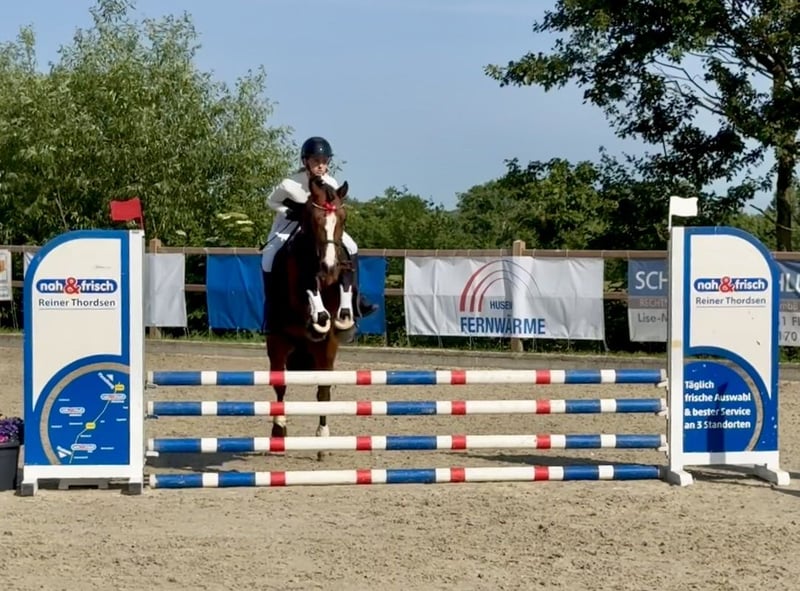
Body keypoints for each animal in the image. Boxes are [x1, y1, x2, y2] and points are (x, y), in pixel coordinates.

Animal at [265, 175, 356, 459]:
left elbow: (345, 286)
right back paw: (278, 432)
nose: (328, 268)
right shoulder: (301, 287)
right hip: (277, 343)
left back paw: (322, 440)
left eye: (343, 218)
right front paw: (319, 318)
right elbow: (309, 290)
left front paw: (343, 319)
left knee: (323, 389)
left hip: (325, 351)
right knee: (280, 387)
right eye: (314, 220)